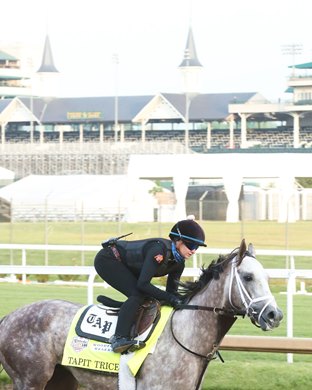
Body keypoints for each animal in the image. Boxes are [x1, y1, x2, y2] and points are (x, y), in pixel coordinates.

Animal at [0, 239, 282, 388]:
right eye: (248, 277)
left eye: (268, 277)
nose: (274, 315)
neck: (186, 337)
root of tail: (8, 318)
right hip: (31, 379)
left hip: (62, 379)